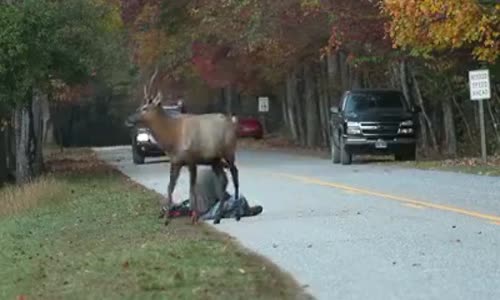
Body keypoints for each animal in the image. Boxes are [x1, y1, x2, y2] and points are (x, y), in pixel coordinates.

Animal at [126, 70, 241, 225]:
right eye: (139, 107)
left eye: (145, 108)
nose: (128, 119)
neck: (173, 137)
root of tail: (232, 123)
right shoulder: (176, 161)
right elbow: (170, 186)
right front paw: (166, 218)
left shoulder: (191, 159)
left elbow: (191, 188)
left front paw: (194, 217)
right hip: (215, 160)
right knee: (224, 180)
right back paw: (218, 218)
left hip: (229, 151)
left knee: (235, 174)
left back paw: (237, 215)